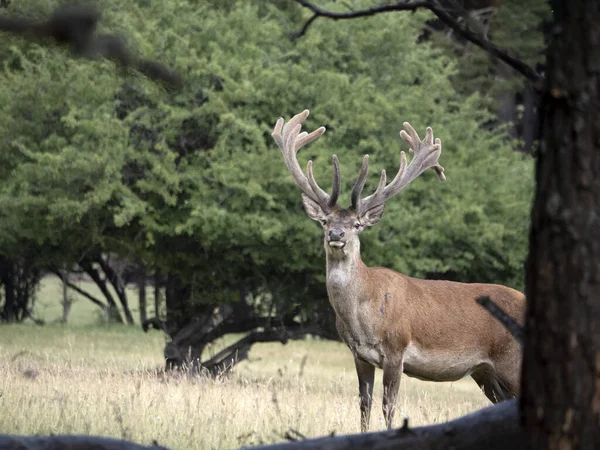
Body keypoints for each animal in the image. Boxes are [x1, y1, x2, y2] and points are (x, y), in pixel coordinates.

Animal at [272, 110, 524, 432]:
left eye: (357, 224)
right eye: (325, 221)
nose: (336, 235)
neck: (362, 315)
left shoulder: (396, 349)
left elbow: (388, 406)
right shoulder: (359, 355)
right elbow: (364, 405)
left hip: (511, 361)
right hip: (486, 373)